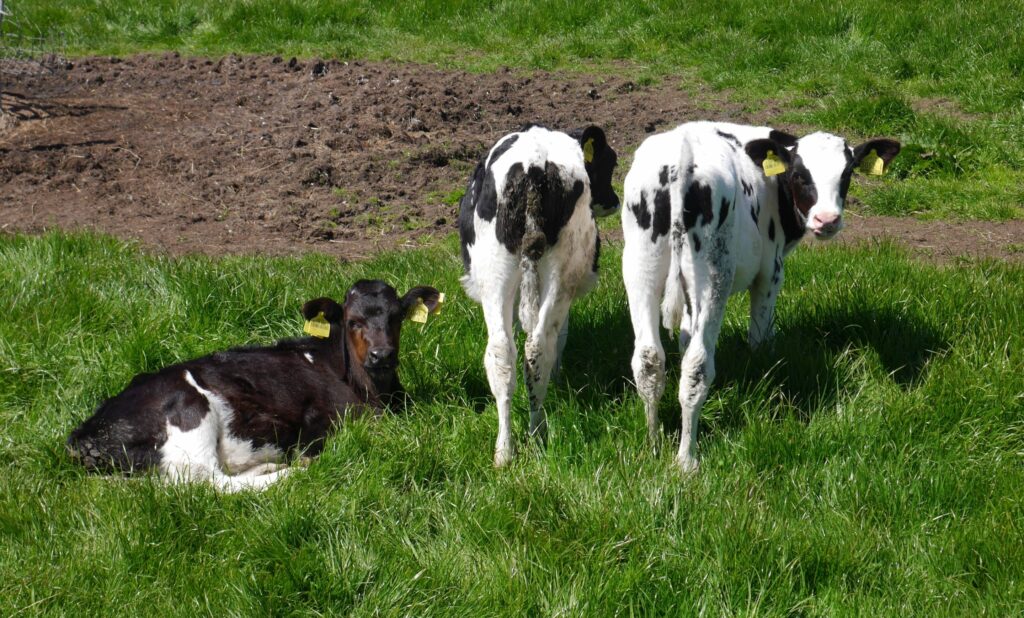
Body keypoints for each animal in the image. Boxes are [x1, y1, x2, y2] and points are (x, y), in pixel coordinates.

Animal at [66, 280, 442, 493]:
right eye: (353, 321)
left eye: (396, 317)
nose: (383, 355)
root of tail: (84, 434)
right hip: (188, 408)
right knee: (207, 484)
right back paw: (291, 474)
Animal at [460, 123, 618, 466]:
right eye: (610, 164)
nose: (614, 200)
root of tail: (534, 166)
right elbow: (561, 335)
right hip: (557, 274)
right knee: (534, 347)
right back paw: (530, 436)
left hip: (499, 275)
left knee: (507, 351)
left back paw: (510, 446)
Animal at [618, 119, 901, 468]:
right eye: (800, 175)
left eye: (846, 173)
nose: (827, 220)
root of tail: (682, 156)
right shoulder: (771, 272)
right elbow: (760, 339)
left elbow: (684, 338)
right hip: (715, 273)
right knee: (697, 365)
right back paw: (687, 460)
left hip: (640, 261)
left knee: (649, 359)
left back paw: (653, 445)